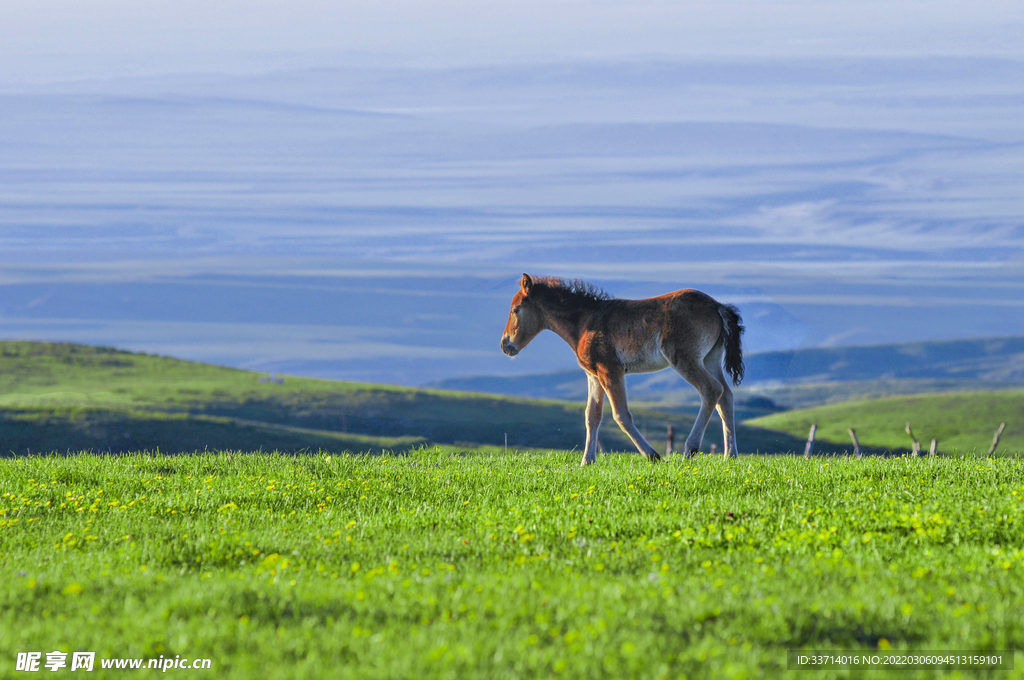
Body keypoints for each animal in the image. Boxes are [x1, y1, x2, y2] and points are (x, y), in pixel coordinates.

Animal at [501, 274, 744, 466]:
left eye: (515, 310)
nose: (505, 345)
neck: (583, 322)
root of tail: (717, 306)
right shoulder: (593, 376)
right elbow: (592, 415)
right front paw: (586, 461)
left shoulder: (610, 371)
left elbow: (621, 415)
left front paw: (653, 455)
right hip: (710, 358)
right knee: (726, 395)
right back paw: (729, 455)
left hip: (684, 358)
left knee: (711, 390)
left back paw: (690, 449)